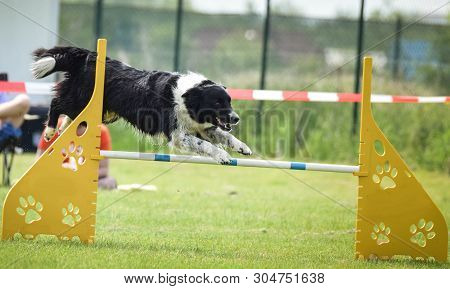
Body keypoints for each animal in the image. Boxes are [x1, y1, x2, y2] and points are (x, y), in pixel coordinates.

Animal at [30, 45, 251, 162]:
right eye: (217, 102)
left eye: (229, 101)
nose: (236, 118)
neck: (188, 96)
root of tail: (88, 56)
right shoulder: (178, 135)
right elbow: (205, 144)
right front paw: (222, 155)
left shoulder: (200, 128)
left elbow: (224, 136)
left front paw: (243, 148)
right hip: (82, 100)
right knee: (57, 103)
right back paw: (50, 131)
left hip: (100, 111)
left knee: (70, 116)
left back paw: (63, 131)